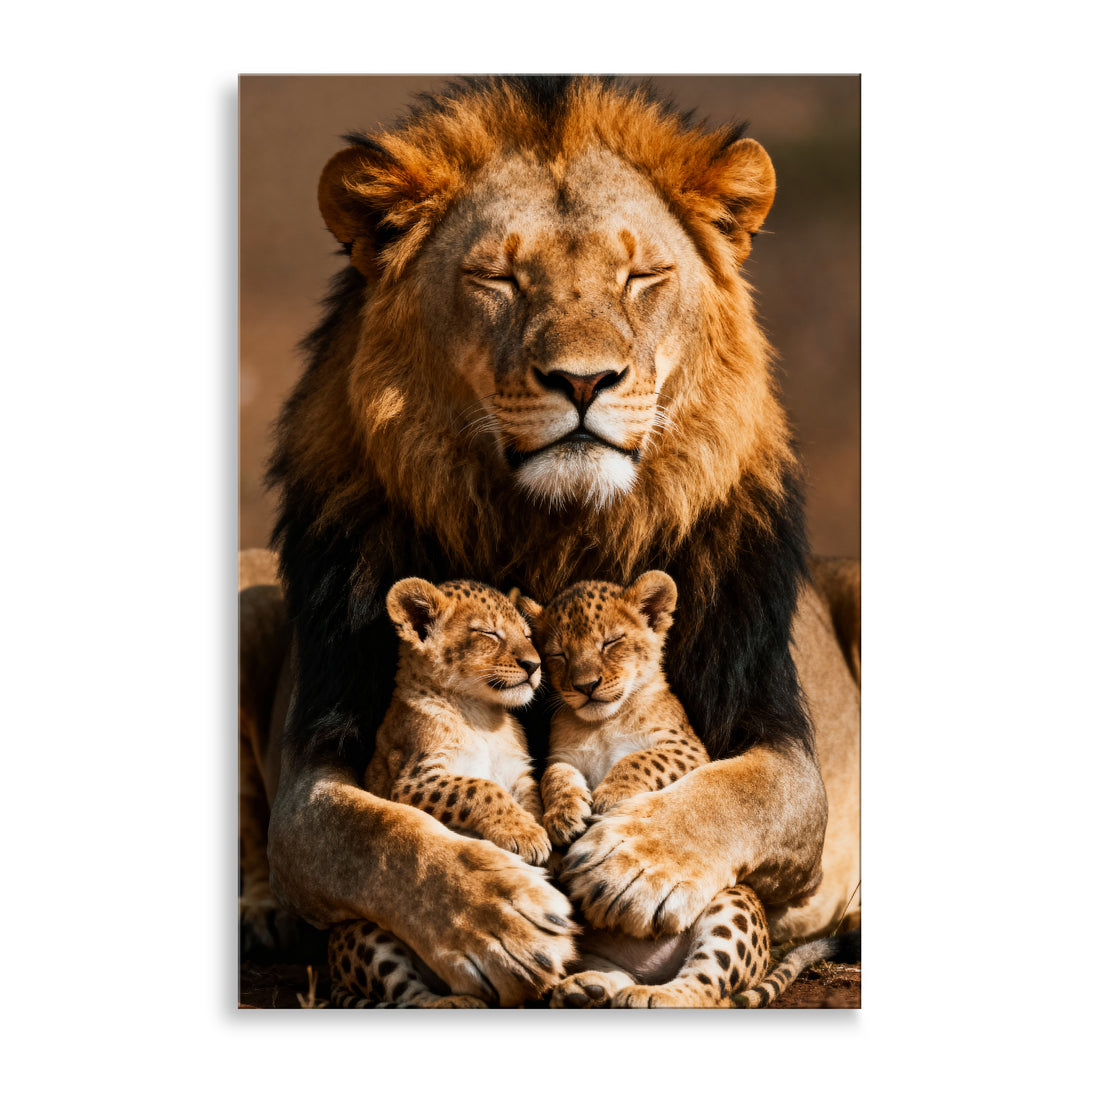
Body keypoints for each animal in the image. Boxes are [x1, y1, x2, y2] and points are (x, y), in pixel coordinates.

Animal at [246, 75, 859, 1006]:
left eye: (642, 275)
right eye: (497, 278)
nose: (583, 380)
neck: (556, 531)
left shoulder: (786, 751)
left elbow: (738, 790)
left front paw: (633, 862)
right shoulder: (316, 772)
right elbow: (375, 835)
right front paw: (494, 911)